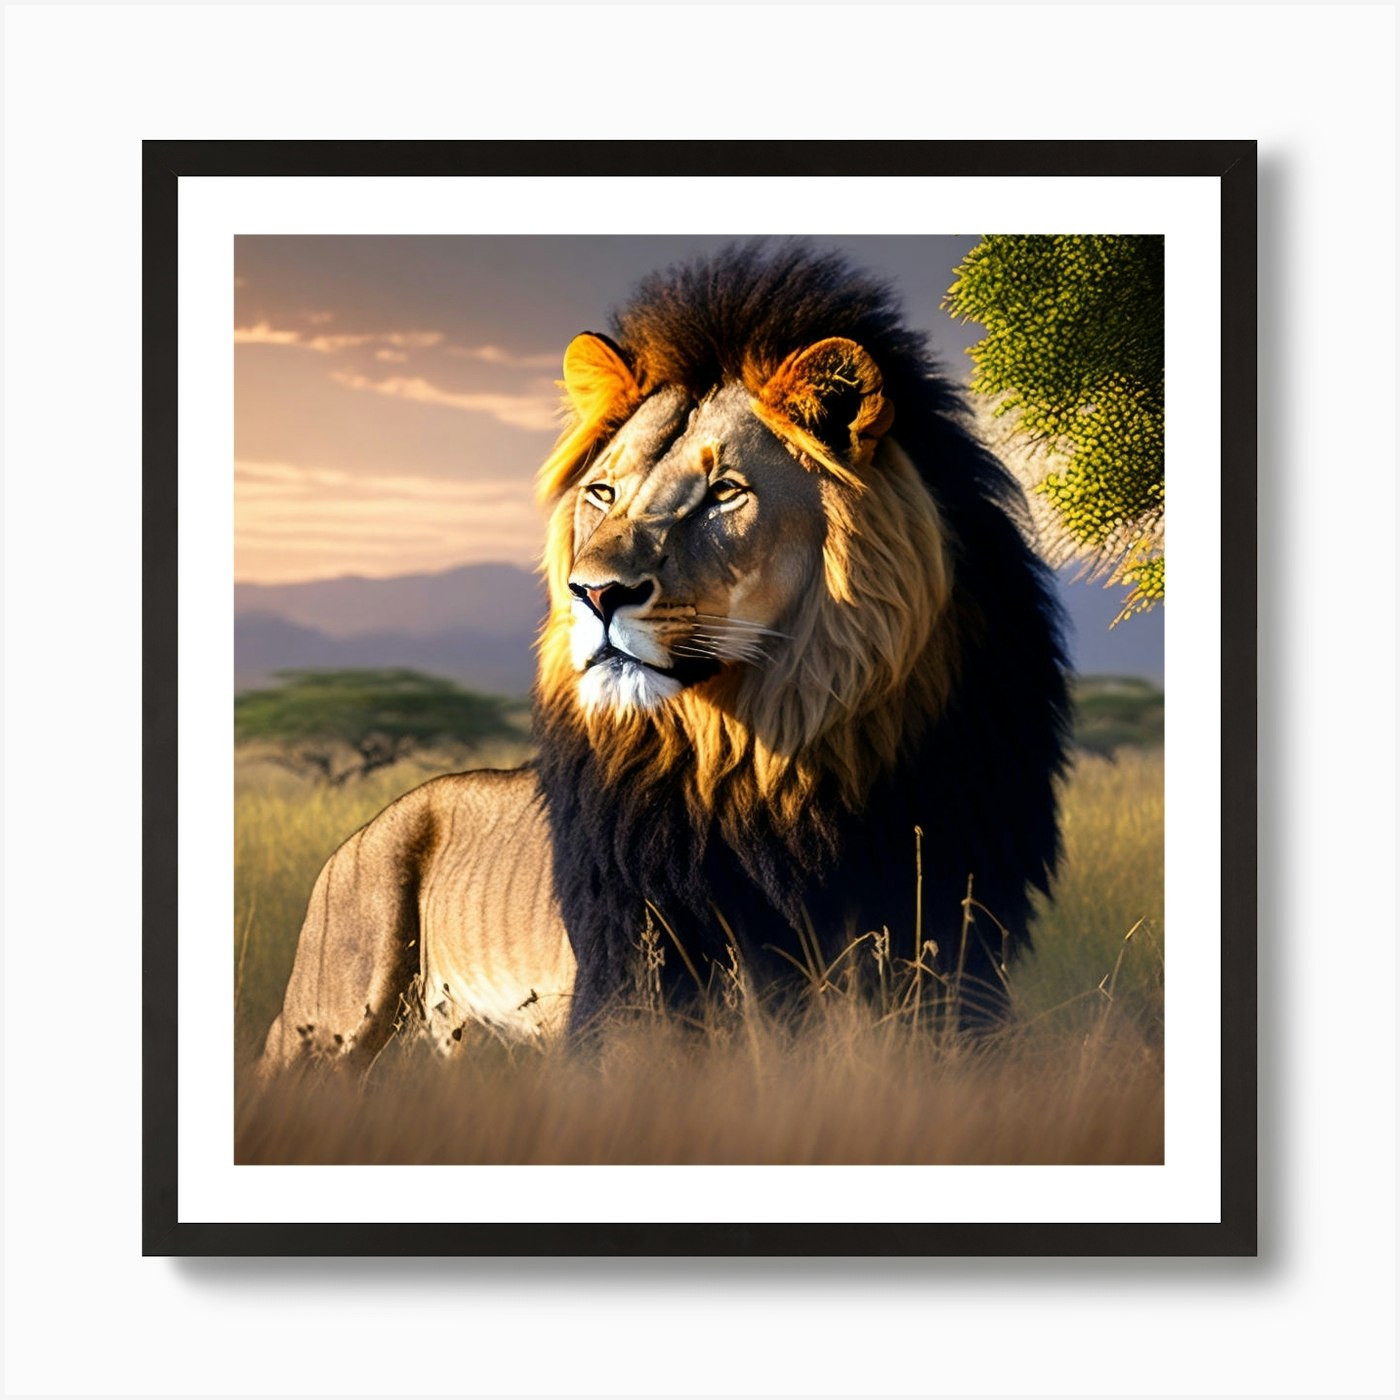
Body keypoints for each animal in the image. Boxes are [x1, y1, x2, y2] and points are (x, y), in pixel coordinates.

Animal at [258, 244, 1070, 1075]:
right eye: (602, 491)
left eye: (724, 493)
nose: (594, 592)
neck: (762, 760)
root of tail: (362, 830)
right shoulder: (638, 964)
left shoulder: (948, 944)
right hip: (328, 1016)